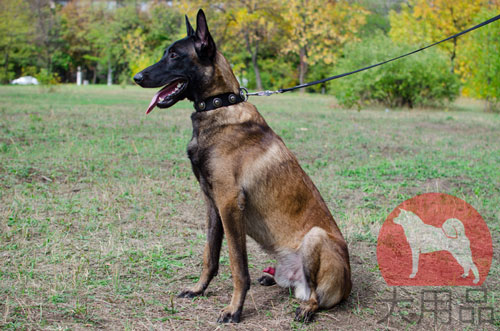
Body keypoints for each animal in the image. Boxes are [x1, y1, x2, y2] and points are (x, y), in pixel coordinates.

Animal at [134, 9, 352, 324]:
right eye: (166, 53)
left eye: (174, 55)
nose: (136, 77)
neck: (219, 105)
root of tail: (349, 284)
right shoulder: (212, 204)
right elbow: (210, 256)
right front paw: (198, 289)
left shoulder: (229, 203)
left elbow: (238, 266)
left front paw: (234, 309)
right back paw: (271, 278)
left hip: (316, 237)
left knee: (316, 297)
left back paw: (306, 307)